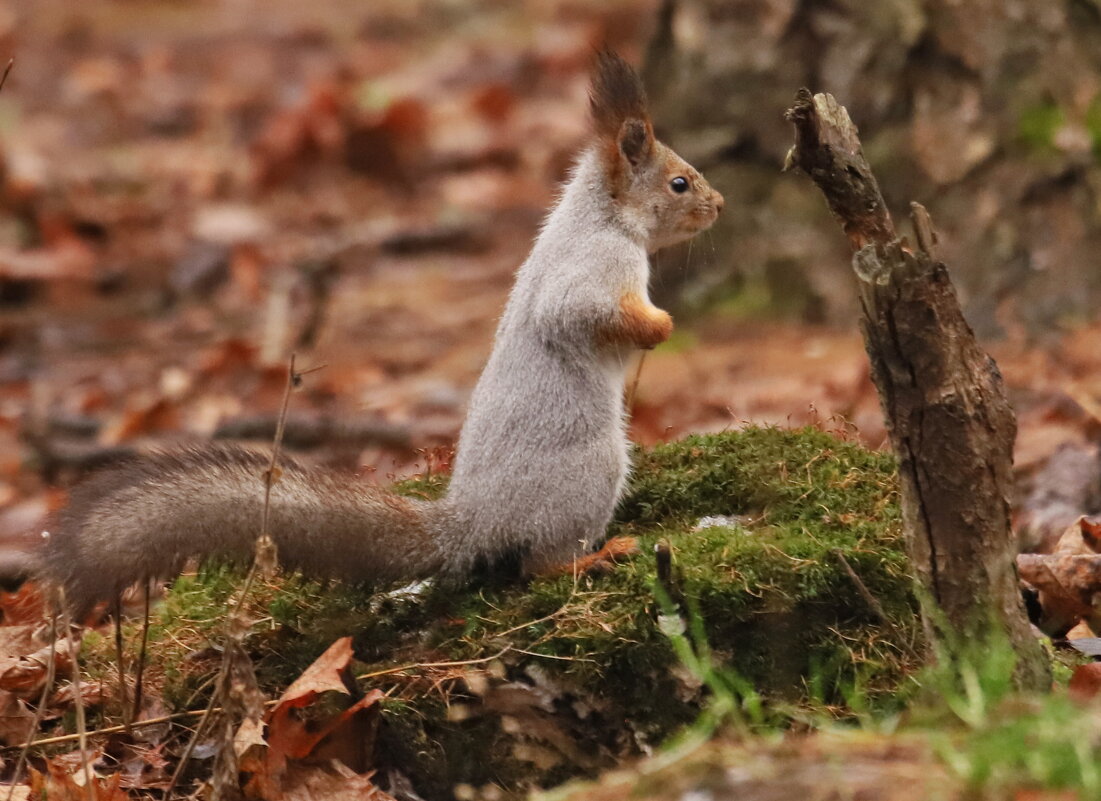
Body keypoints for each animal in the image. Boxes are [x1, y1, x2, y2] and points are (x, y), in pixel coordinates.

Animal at [38, 50, 722, 616]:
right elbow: (580, 313)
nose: (719, 205)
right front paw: (660, 325)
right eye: (679, 182)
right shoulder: (594, 269)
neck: (603, 216)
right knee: (537, 564)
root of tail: (471, 523)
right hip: (591, 471)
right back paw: (598, 554)